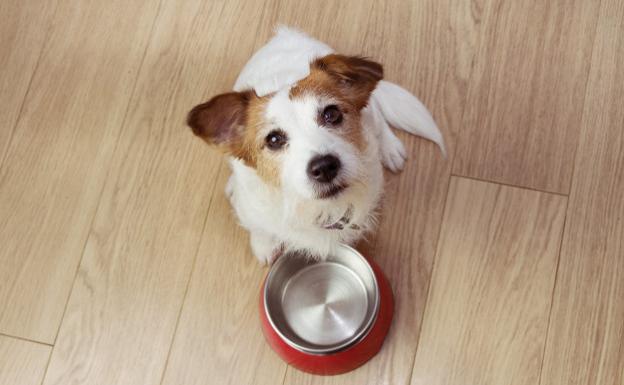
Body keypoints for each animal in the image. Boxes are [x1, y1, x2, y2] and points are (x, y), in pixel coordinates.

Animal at [188, 27, 446, 264]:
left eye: (331, 114)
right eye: (273, 139)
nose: (324, 167)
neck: (312, 207)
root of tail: (285, 33)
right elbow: (259, 227)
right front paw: (263, 245)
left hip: (371, 112)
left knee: (379, 117)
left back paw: (390, 147)